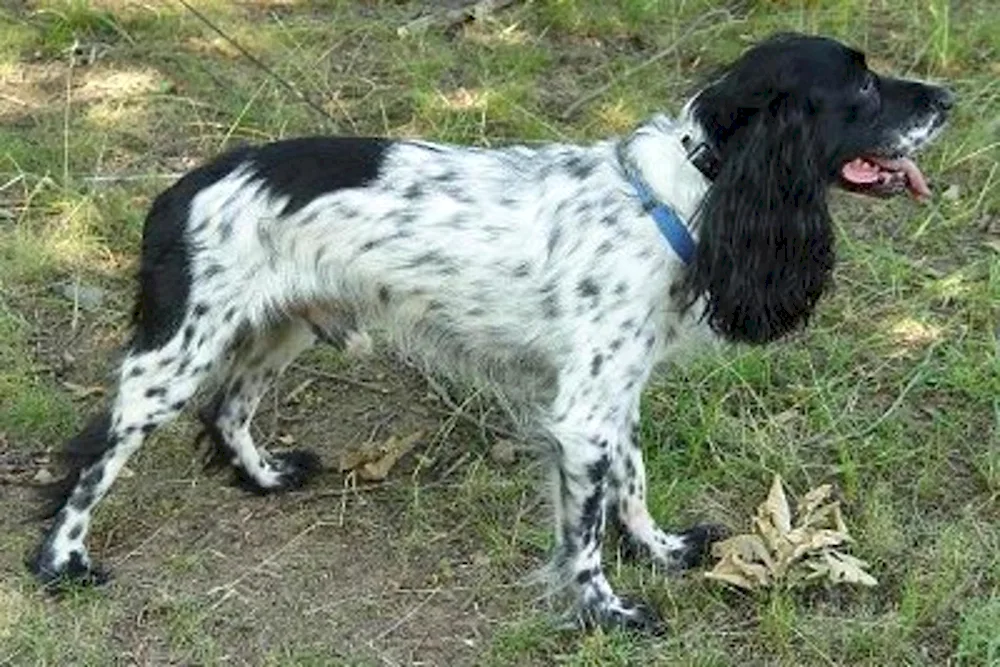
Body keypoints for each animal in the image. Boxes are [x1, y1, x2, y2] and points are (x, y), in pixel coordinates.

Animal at [31, 35, 952, 632]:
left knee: (227, 411)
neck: (684, 192)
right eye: (863, 91)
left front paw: (659, 549)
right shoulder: (582, 412)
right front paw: (606, 610)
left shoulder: (611, 391)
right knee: (95, 453)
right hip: (177, 352)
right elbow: (584, 531)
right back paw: (63, 562)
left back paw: (265, 478)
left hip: (278, 326)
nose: (949, 99)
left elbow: (632, 479)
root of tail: (180, 189)